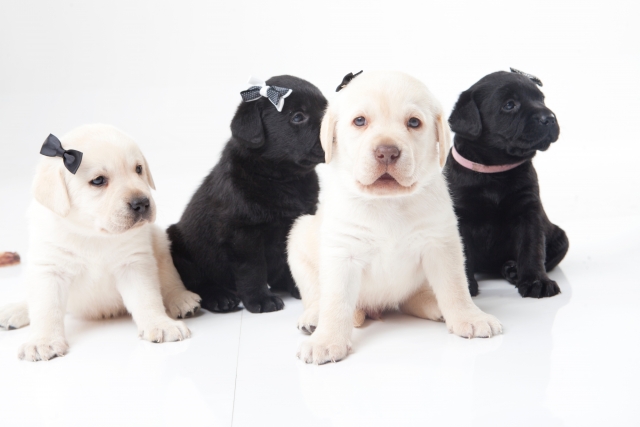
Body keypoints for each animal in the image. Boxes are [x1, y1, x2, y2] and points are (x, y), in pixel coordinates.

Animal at [0, 124, 200, 361]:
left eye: (138, 169)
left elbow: (147, 298)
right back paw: (15, 311)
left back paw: (181, 299)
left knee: (169, 279)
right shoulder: (49, 269)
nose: (142, 203)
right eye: (98, 181)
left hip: (160, 242)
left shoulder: (134, 264)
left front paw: (160, 324)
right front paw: (42, 341)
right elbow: (46, 308)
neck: (92, 233)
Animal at [167, 75, 327, 314]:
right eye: (298, 116)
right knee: (198, 283)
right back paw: (220, 297)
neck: (281, 180)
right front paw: (261, 299)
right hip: (178, 246)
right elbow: (252, 269)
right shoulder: (243, 233)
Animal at [288, 71, 502, 365]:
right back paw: (317, 318)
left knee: (413, 298)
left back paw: (435, 305)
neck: (386, 202)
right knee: (316, 295)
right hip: (298, 240)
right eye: (360, 121)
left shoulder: (441, 244)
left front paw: (468, 316)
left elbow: (455, 287)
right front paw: (327, 339)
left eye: (413, 122)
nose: (387, 152)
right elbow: (336, 300)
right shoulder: (342, 251)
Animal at [444, 70, 569, 298]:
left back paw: (512, 269)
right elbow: (463, 253)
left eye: (541, 99)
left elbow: (532, 248)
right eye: (510, 105)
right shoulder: (460, 215)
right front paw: (465, 286)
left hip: (561, 238)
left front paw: (536, 281)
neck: (495, 172)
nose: (549, 118)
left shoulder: (529, 211)